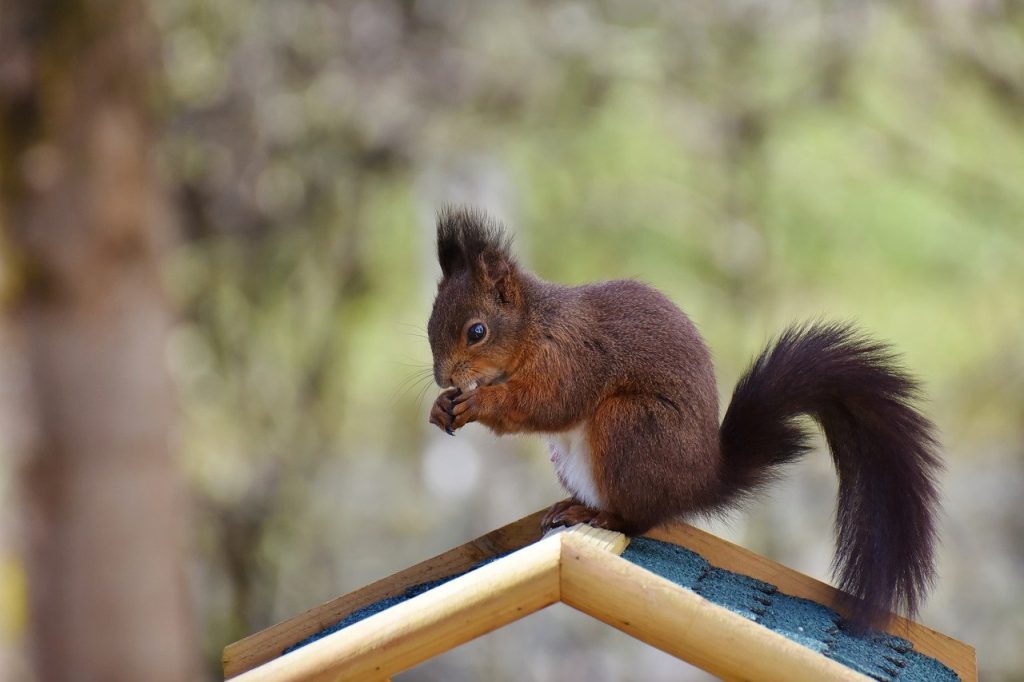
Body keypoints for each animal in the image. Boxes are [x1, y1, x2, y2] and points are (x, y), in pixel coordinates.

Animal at [425, 204, 942, 622]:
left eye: (476, 331)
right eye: (430, 325)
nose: (442, 377)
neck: (536, 324)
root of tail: (700, 479)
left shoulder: (573, 355)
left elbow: (550, 402)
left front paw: (479, 402)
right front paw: (440, 406)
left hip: (630, 426)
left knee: (639, 518)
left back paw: (603, 518)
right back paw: (572, 506)